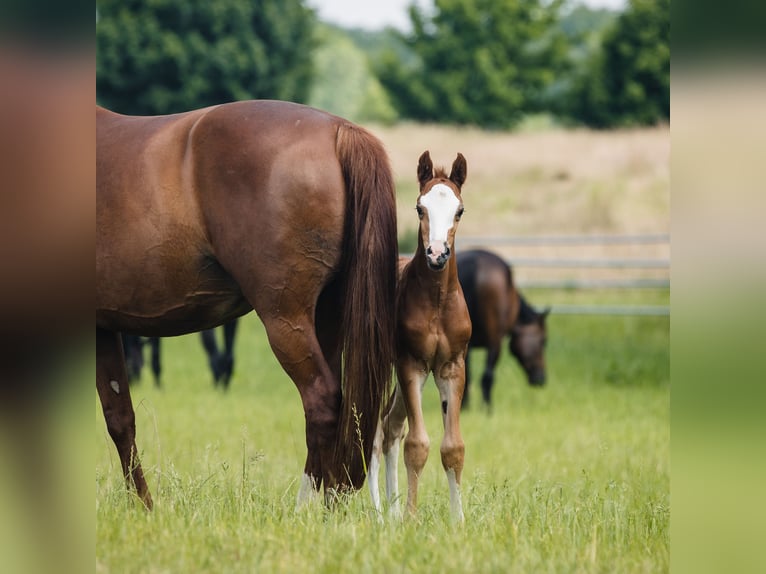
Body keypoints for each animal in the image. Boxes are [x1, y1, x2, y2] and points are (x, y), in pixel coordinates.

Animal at [97, 100, 398, 510]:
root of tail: (338, 131)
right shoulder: (103, 327)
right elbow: (120, 417)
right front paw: (145, 507)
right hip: (326, 319)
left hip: (286, 320)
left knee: (321, 401)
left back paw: (305, 509)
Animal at [368, 151, 471, 522]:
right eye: (419, 208)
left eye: (459, 210)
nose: (437, 254)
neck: (438, 302)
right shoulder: (411, 364)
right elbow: (417, 444)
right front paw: (412, 519)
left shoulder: (451, 367)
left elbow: (452, 447)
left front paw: (458, 522)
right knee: (376, 431)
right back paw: (382, 514)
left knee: (390, 427)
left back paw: (393, 513)